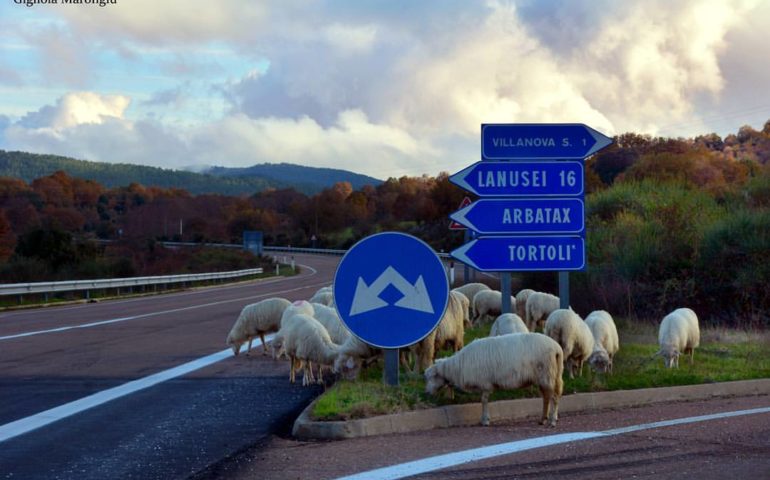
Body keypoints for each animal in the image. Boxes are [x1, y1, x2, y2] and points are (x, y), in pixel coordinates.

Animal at [424, 334, 560, 428]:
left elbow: (484, 401)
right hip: (547, 376)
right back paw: (543, 419)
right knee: (546, 398)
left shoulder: (485, 383)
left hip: (548, 374)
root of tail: (557, 348)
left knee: (553, 397)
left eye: (432, 377)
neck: (457, 367)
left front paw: (485, 420)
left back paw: (552, 421)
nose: (427, 392)